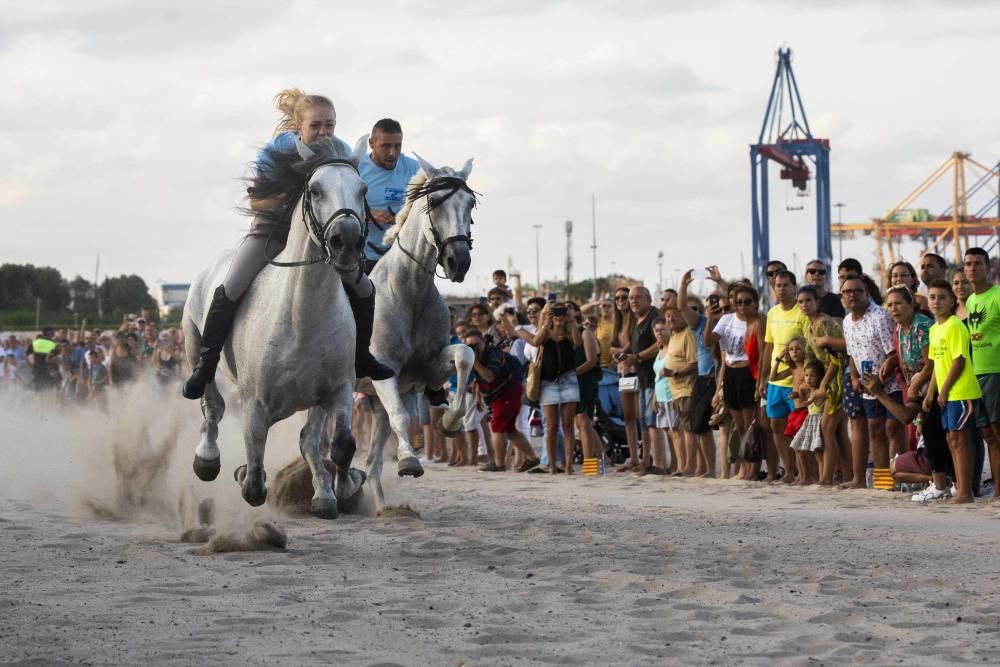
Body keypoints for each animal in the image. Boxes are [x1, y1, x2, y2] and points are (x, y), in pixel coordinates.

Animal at [183, 137, 368, 520]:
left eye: (363, 189)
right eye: (315, 189)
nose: (347, 242)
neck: (302, 317)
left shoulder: (337, 388)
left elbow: (337, 444)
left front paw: (340, 488)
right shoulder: (255, 403)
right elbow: (254, 476)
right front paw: (243, 474)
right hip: (194, 345)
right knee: (212, 404)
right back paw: (207, 460)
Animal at [360, 157, 480, 512]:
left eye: (470, 204)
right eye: (435, 202)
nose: (458, 262)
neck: (409, 290)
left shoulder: (425, 370)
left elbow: (465, 357)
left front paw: (450, 422)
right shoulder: (384, 369)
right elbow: (401, 415)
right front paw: (409, 461)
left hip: (371, 403)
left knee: (370, 463)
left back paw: (382, 508)